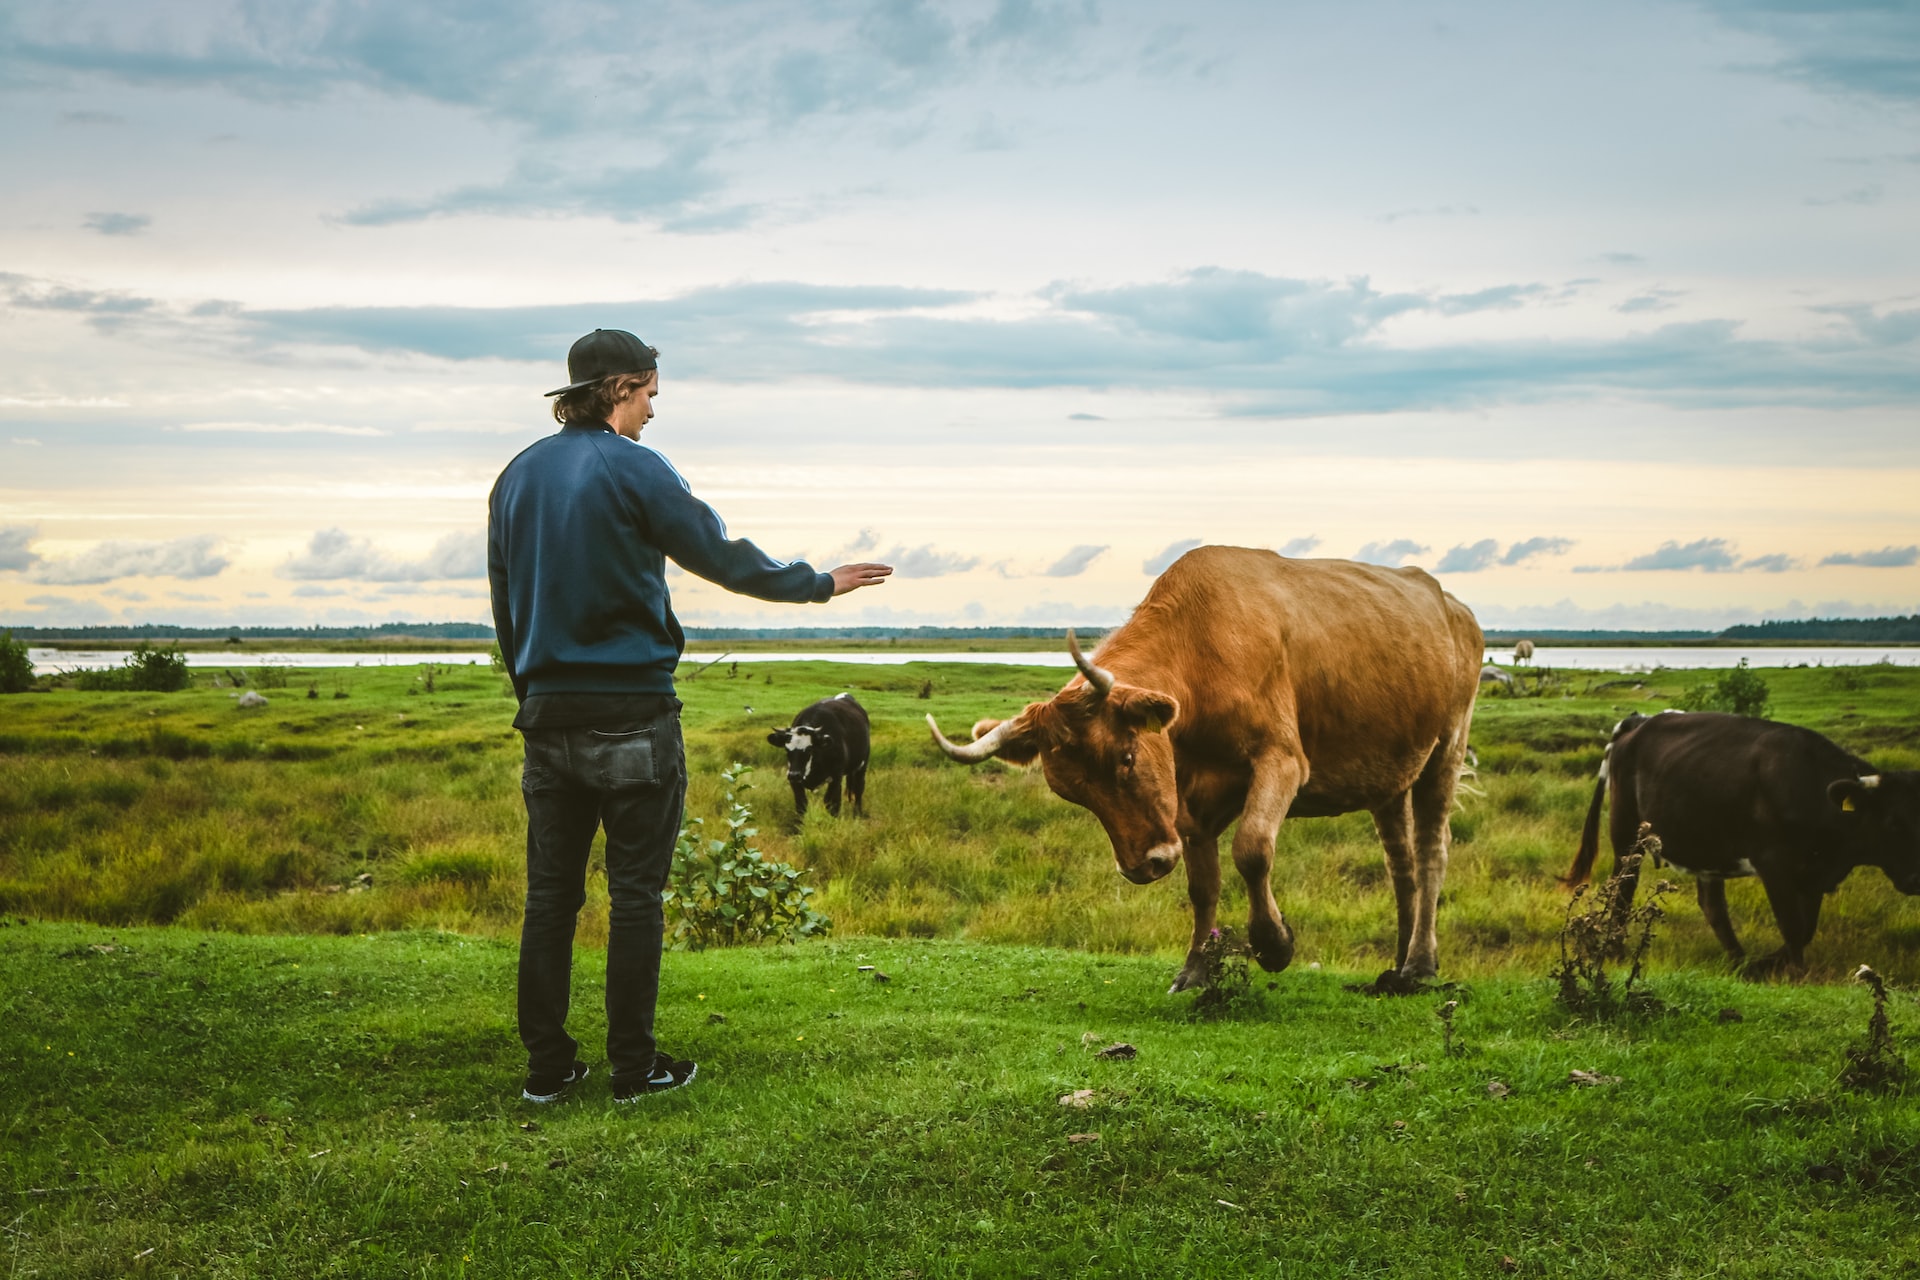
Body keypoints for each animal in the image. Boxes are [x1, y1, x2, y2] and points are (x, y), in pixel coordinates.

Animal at [929, 545, 1482, 997]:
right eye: (1074, 794)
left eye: (1125, 758)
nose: (1144, 865)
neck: (1201, 655)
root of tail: (1452, 605)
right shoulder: (1188, 800)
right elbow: (1203, 884)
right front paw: (1195, 969)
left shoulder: (1283, 760)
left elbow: (1252, 849)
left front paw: (1275, 944)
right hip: (1389, 774)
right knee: (1400, 862)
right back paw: (1398, 963)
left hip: (1446, 749)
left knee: (1431, 853)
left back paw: (1421, 965)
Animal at [1559, 710, 1920, 971]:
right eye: (1893, 823)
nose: (1915, 880)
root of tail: (1638, 722)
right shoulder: (1774, 863)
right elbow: (1792, 925)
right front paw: (1795, 973)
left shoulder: (1813, 873)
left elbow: (1805, 928)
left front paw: (1770, 962)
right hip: (1626, 832)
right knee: (1623, 888)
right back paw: (1616, 950)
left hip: (1705, 845)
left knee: (1712, 905)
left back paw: (1739, 959)